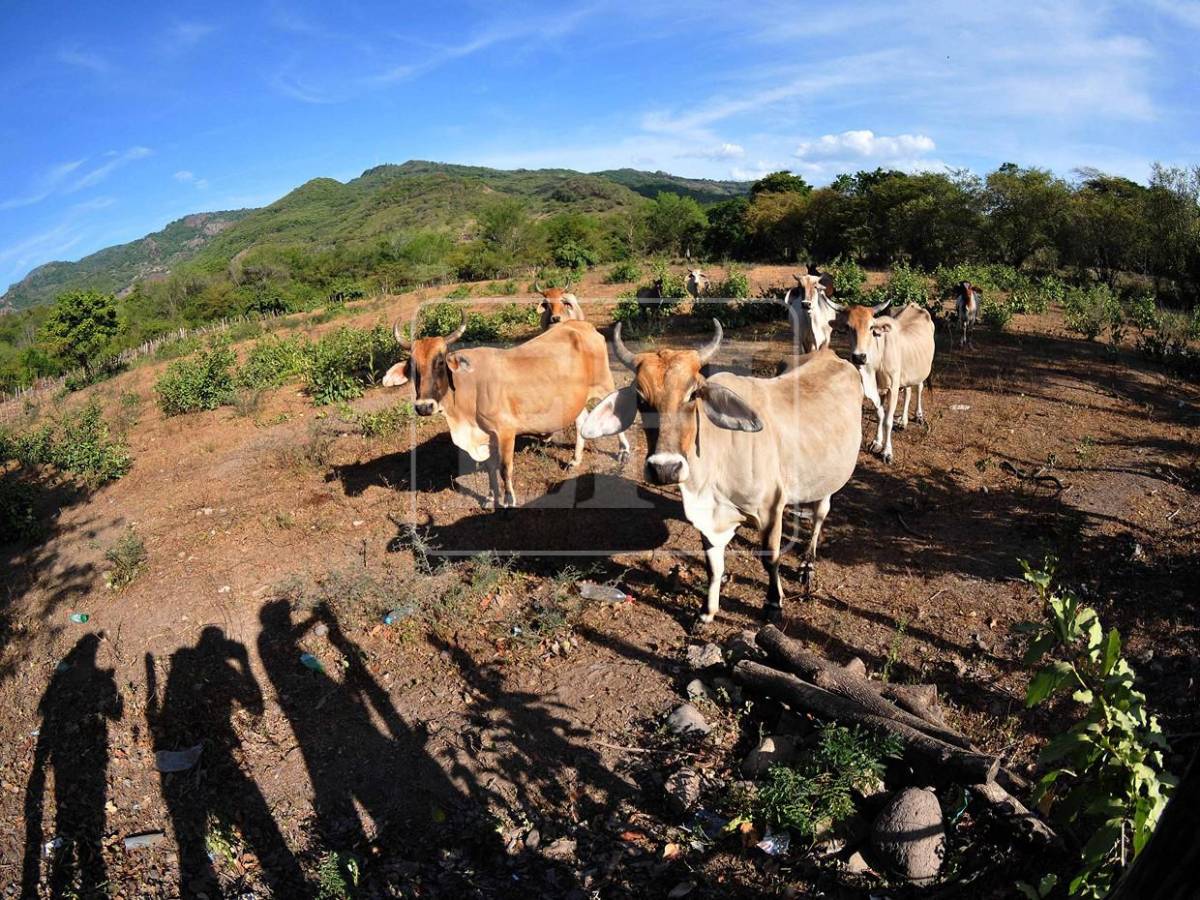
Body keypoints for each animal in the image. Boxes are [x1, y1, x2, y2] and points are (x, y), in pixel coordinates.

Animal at [383, 310, 630, 508]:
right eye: (413, 366)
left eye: (441, 362)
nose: (424, 406)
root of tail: (583, 326)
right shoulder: (487, 437)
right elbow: (490, 469)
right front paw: (491, 497)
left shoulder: (505, 432)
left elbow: (504, 468)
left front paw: (509, 500)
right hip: (575, 399)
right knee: (581, 420)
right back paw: (575, 459)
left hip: (604, 384)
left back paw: (624, 452)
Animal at [581, 320, 862, 623]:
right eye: (641, 400)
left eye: (693, 394)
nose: (665, 469)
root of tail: (828, 354)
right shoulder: (708, 520)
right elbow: (713, 566)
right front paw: (707, 610)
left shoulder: (771, 507)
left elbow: (770, 558)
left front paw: (773, 603)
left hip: (830, 479)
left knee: (820, 514)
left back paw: (807, 564)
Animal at [826, 298, 935, 464]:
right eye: (848, 327)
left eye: (871, 327)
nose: (859, 357)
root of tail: (915, 305)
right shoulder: (878, 390)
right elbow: (879, 415)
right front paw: (877, 442)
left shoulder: (892, 388)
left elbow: (888, 420)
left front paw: (887, 452)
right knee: (908, 391)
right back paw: (903, 421)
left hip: (920, 370)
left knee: (919, 388)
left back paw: (919, 416)